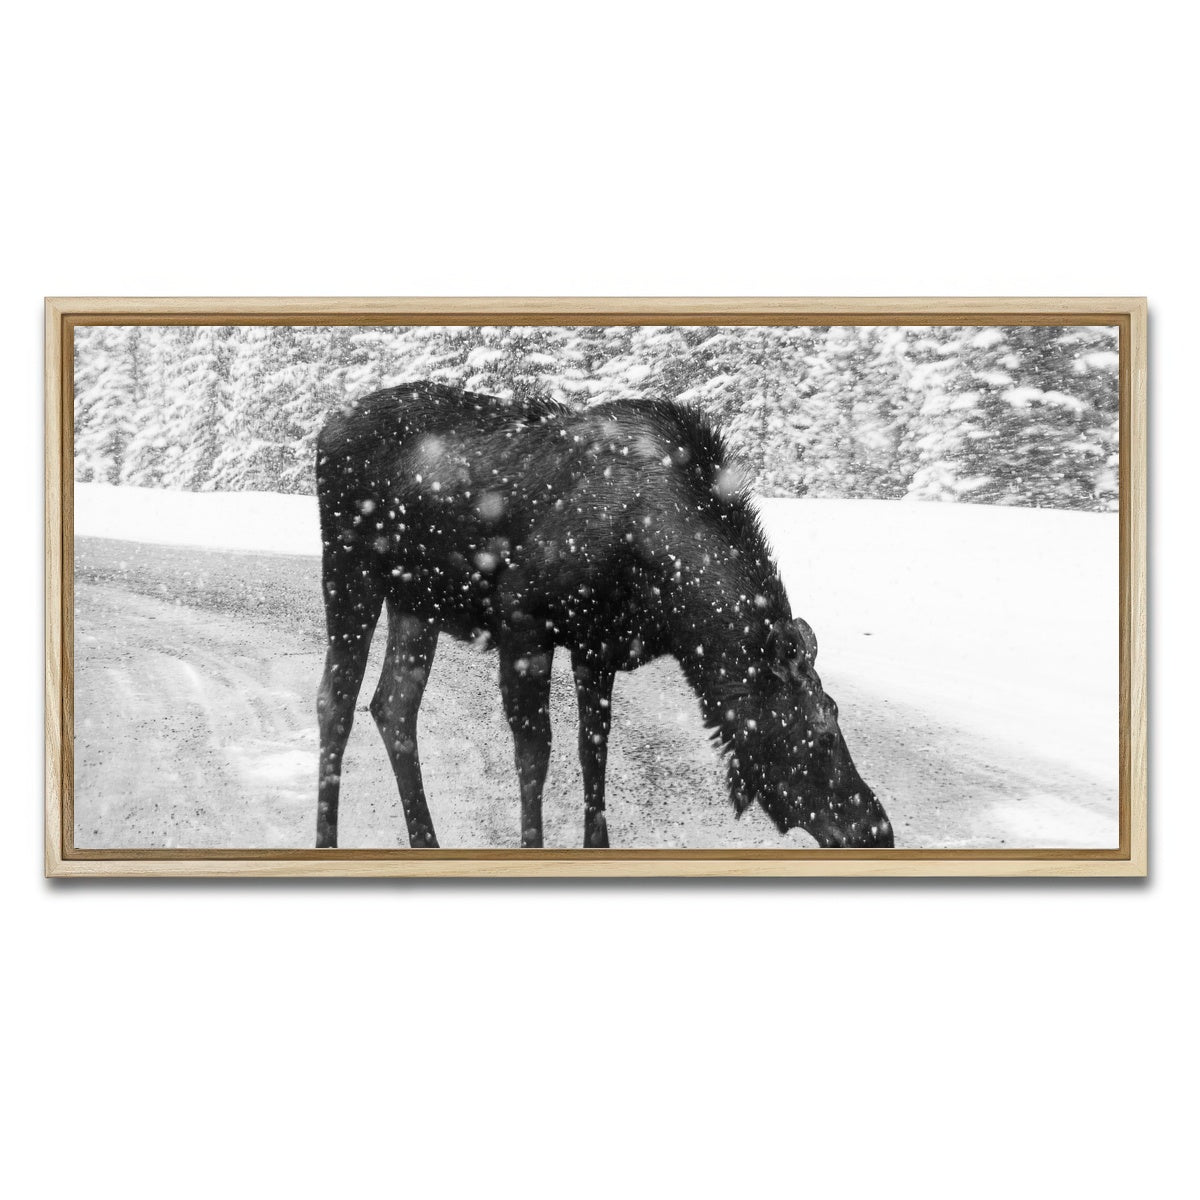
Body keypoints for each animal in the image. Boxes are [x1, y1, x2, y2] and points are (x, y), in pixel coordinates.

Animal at [315, 382, 893, 850]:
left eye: (835, 712)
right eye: (820, 731)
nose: (876, 829)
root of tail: (324, 430)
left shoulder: (597, 647)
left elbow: (593, 752)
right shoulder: (525, 623)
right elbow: (536, 754)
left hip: (417, 603)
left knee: (393, 706)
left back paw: (426, 840)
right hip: (350, 570)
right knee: (335, 702)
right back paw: (327, 839)